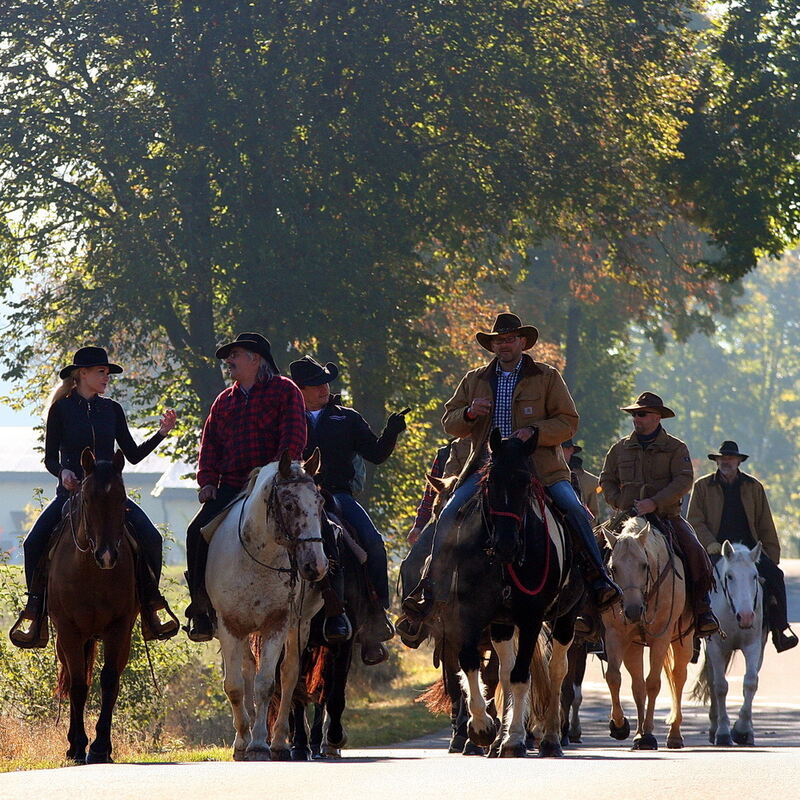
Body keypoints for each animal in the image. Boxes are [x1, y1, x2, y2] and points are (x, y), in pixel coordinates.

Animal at [48, 446, 138, 764]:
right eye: (86, 498)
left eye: (122, 498)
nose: (107, 555)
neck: (91, 572)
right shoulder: (69, 632)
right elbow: (78, 685)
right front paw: (77, 746)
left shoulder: (119, 629)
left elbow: (109, 680)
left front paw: (100, 747)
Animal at [206, 450, 332, 764]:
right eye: (288, 504)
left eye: (320, 502)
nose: (316, 565)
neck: (256, 558)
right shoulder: (230, 626)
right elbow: (235, 685)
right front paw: (242, 741)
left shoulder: (277, 623)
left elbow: (266, 684)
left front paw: (260, 744)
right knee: (248, 672)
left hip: (299, 625)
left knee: (288, 677)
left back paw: (279, 742)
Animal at [438, 428, 580, 760]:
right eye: (490, 481)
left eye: (525, 482)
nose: (506, 543)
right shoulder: (470, 613)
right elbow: (471, 663)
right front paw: (482, 728)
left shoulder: (530, 618)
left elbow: (520, 675)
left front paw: (514, 739)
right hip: (502, 625)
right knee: (504, 671)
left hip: (565, 618)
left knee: (556, 671)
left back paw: (550, 738)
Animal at [600, 520, 692, 752]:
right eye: (613, 568)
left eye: (644, 565)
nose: (633, 611)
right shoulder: (616, 635)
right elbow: (614, 677)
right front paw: (620, 725)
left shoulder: (661, 638)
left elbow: (654, 683)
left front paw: (649, 734)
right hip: (634, 646)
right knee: (637, 685)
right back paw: (638, 734)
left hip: (684, 640)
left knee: (678, 677)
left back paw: (674, 734)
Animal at [692, 540, 764, 748]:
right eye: (730, 576)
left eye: (754, 575)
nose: (746, 617)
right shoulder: (716, 648)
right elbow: (720, 687)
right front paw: (723, 732)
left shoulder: (753, 645)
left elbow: (750, 682)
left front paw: (743, 730)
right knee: (713, 680)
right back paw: (714, 727)